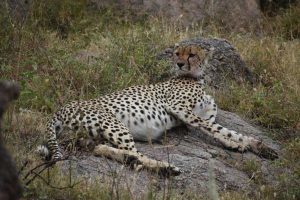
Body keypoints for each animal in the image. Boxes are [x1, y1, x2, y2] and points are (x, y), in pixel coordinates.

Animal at [38, 43, 278, 175]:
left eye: (191, 54)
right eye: (177, 53)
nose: (179, 64)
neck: (196, 78)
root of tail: (58, 110)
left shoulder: (201, 116)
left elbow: (226, 131)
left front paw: (256, 146)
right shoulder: (179, 108)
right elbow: (213, 129)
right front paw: (237, 144)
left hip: (94, 135)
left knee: (102, 149)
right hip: (113, 123)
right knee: (133, 152)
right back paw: (165, 168)